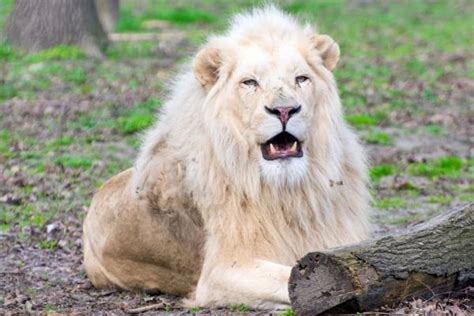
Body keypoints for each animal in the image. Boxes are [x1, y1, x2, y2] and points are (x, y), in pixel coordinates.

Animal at [83, 6, 370, 310]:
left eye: (301, 79)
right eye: (250, 82)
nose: (284, 110)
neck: (288, 192)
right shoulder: (220, 273)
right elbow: (292, 276)